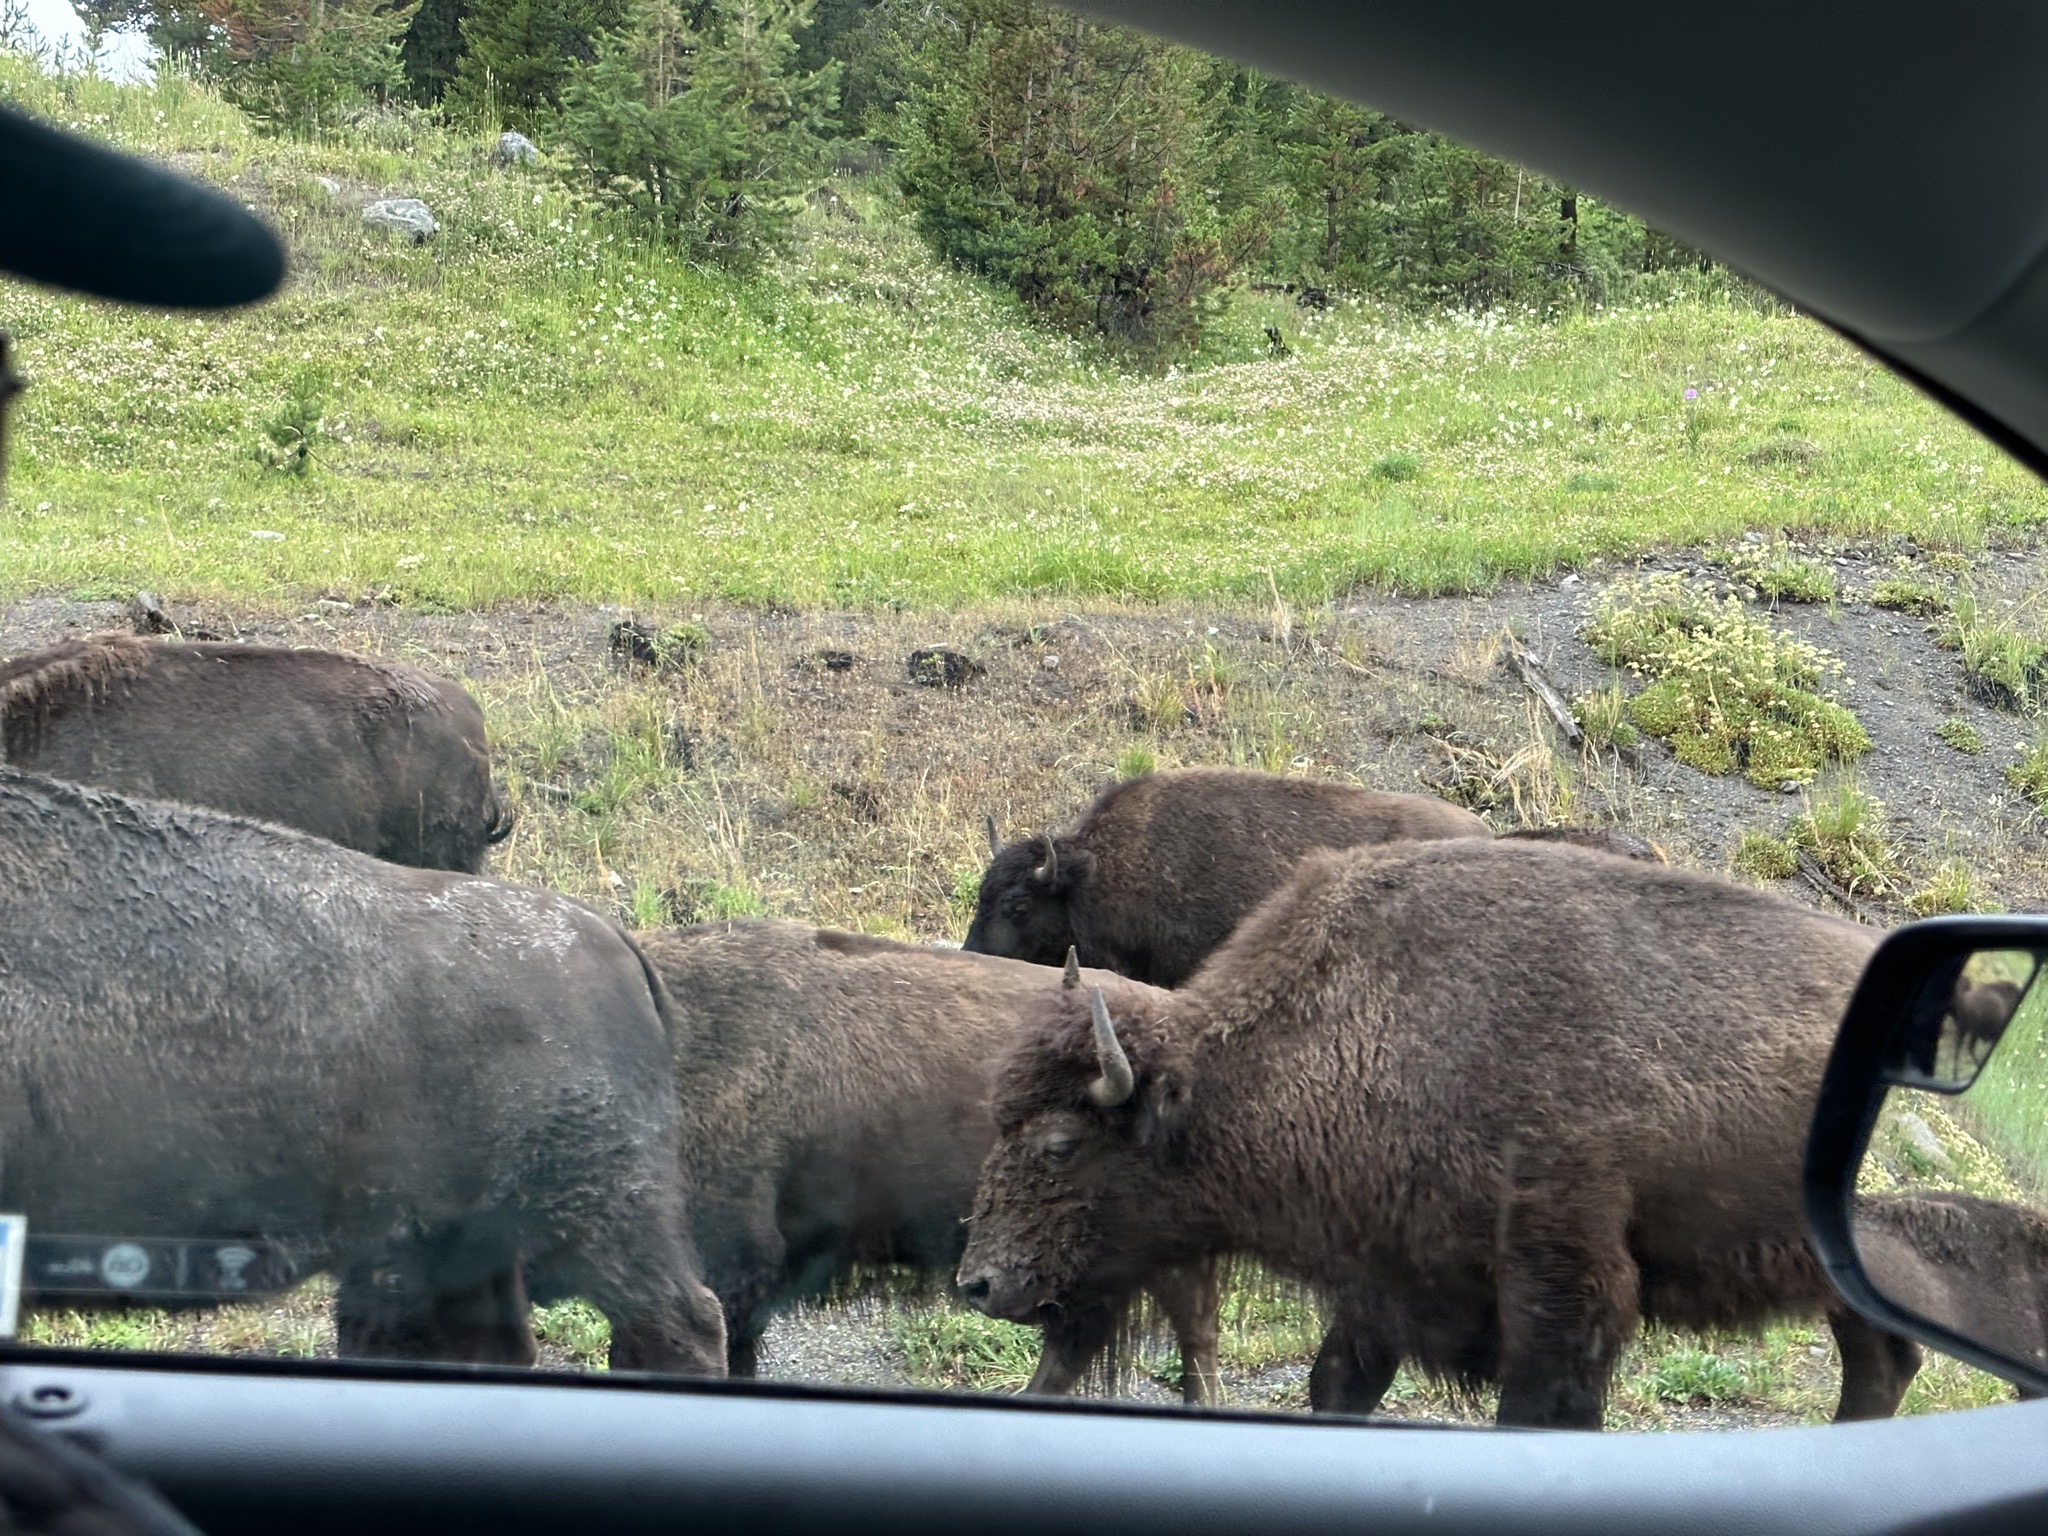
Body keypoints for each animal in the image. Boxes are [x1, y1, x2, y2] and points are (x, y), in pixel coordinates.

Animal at [957, 837, 1921, 1428]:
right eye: (997, 1123)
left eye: (1060, 1145)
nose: (979, 1281)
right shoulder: (1382, 1278)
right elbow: (1338, 1385)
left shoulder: (1562, 1286)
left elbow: (1543, 1407)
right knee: (1882, 1352)